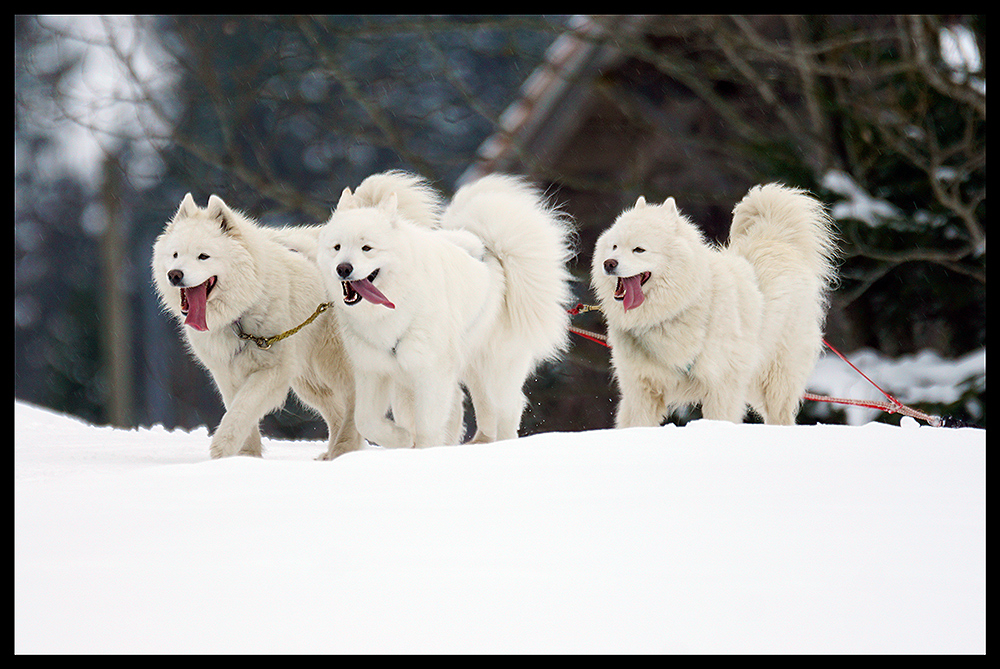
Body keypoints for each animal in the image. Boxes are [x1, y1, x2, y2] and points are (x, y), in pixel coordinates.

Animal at [151, 193, 360, 460]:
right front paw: (245, 457)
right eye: (176, 255)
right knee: (336, 409)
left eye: (203, 256)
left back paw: (346, 448)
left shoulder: (272, 370)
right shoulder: (226, 373)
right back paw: (333, 454)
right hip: (309, 379)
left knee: (352, 403)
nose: (174, 275)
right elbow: (241, 414)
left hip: (334, 364)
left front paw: (221, 450)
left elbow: (242, 409)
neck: (239, 314)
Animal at [316, 170, 576, 448]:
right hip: (467, 368)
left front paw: (422, 449)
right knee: (482, 407)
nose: (343, 268)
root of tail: (494, 256)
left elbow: (427, 428)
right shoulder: (374, 371)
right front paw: (402, 439)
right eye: (337, 247)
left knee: (509, 406)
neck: (392, 309)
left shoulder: (431, 372)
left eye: (367, 248)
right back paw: (479, 442)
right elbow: (366, 421)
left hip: (497, 369)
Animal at [592, 184, 836, 422]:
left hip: (776, 382)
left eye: (639, 249)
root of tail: (778, 241)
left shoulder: (721, 386)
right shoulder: (640, 390)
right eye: (614, 247)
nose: (609, 263)